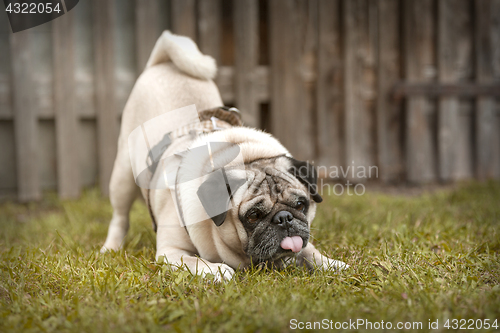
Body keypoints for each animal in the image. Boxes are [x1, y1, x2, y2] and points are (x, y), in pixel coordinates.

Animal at [101, 31, 348, 280]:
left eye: (300, 205)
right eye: (253, 216)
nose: (284, 218)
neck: (242, 155)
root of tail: (163, 62)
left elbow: (310, 251)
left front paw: (332, 264)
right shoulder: (171, 251)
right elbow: (195, 261)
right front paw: (216, 269)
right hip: (122, 176)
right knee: (119, 218)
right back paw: (110, 248)